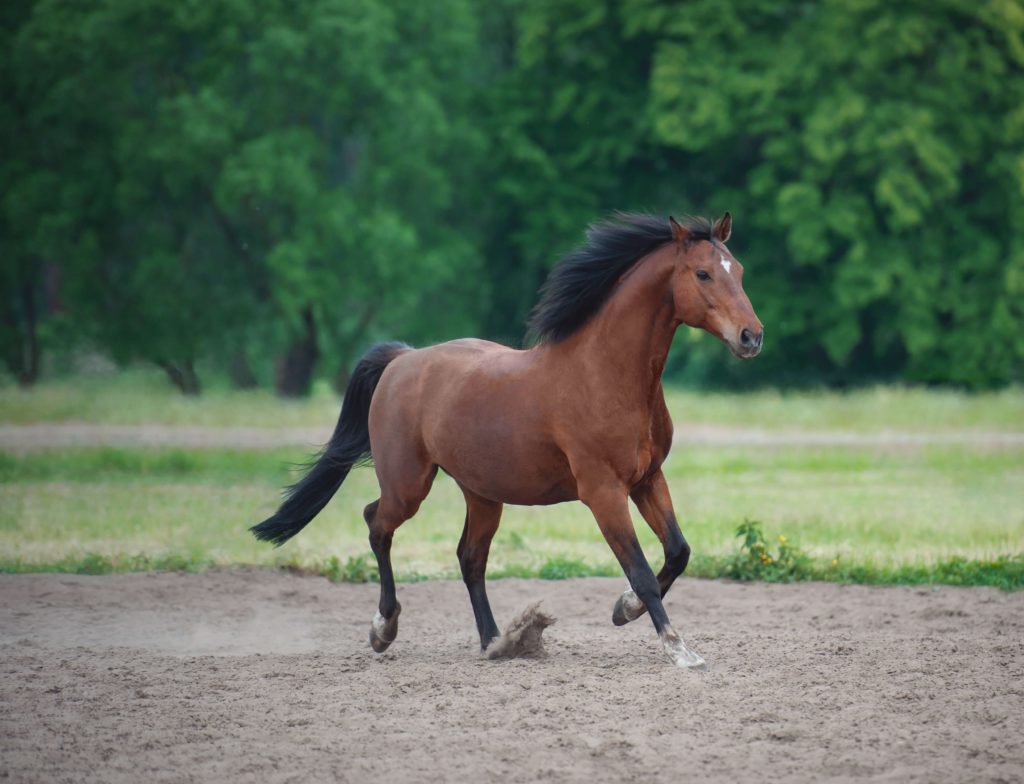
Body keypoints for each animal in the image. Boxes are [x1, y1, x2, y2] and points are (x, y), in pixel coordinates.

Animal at [252, 212, 763, 667]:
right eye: (702, 273)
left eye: (738, 270)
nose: (751, 337)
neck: (605, 374)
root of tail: (403, 360)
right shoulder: (603, 492)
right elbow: (640, 571)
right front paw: (678, 649)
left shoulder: (647, 479)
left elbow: (678, 552)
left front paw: (624, 610)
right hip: (408, 485)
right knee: (376, 523)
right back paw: (384, 629)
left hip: (482, 493)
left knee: (469, 557)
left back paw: (495, 641)